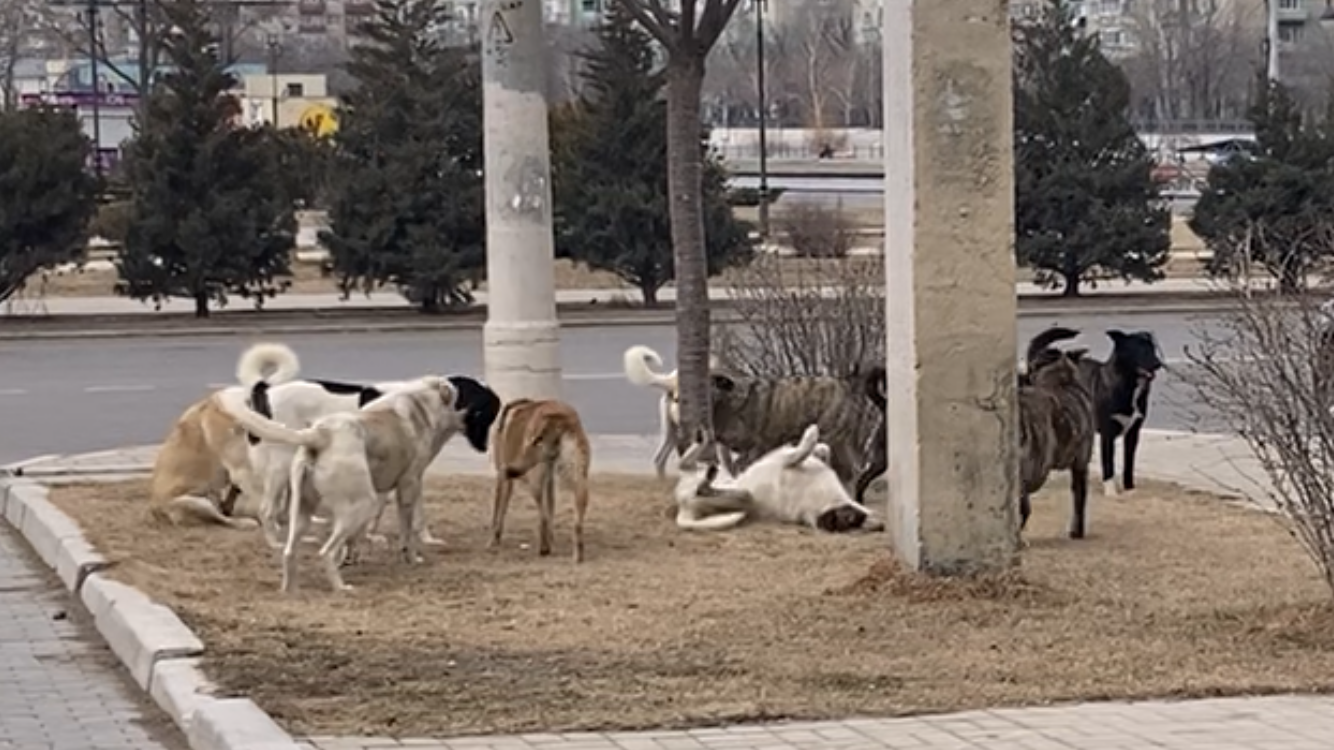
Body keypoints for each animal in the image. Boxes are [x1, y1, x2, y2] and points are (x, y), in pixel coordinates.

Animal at [148, 341, 300, 528]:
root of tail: (155, 510)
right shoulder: (243, 472)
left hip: (209, 495)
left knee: (222, 508)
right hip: (194, 501)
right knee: (222, 519)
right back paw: (245, 522)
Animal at [216, 373, 466, 589]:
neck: (418, 403)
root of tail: (319, 434)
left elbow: (358, 536)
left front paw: (352, 554)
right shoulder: (408, 485)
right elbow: (407, 532)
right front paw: (411, 558)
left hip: (303, 510)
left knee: (290, 552)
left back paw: (290, 590)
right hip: (360, 502)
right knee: (324, 551)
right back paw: (340, 587)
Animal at [488, 397, 592, 560]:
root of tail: (559, 419)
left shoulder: (503, 479)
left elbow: (498, 513)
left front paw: (493, 541)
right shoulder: (549, 482)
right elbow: (551, 510)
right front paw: (552, 540)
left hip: (534, 481)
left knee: (542, 516)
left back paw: (544, 549)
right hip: (579, 480)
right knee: (574, 522)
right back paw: (577, 555)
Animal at [672, 421, 880, 531]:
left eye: (850, 520)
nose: (831, 521)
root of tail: (683, 508)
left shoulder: (784, 462)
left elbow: (803, 451)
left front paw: (810, 435)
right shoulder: (791, 459)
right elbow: (821, 448)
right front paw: (814, 442)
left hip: (743, 496)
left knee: (701, 485)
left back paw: (708, 468)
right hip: (722, 478)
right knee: (686, 463)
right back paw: (707, 442)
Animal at [1077, 328, 1163, 493]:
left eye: (1152, 348)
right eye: (1139, 348)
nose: (1158, 364)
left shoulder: (1133, 433)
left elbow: (1129, 464)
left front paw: (1130, 489)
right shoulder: (1107, 433)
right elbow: (1108, 463)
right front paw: (1111, 492)